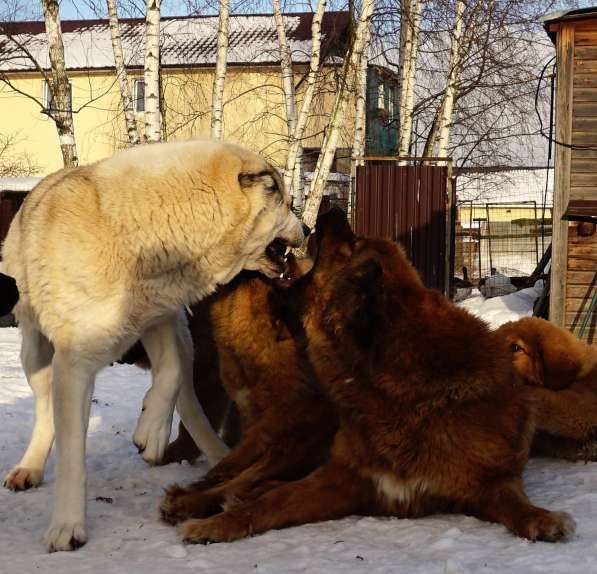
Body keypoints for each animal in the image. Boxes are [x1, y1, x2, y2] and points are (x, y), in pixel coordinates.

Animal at [1, 138, 308, 552]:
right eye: (287, 203)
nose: (308, 227)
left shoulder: (160, 319)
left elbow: (171, 374)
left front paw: (151, 433)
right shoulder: (74, 363)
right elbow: (72, 456)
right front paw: (68, 528)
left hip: (181, 336)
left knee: (190, 402)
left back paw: (207, 453)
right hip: (35, 353)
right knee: (46, 405)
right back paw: (30, 468)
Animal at [169, 209, 576, 548]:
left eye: (353, 244)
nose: (331, 208)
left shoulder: (488, 482)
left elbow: (515, 504)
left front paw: (542, 519)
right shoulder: (342, 478)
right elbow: (270, 502)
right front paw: (215, 524)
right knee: (243, 478)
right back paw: (192, 501)